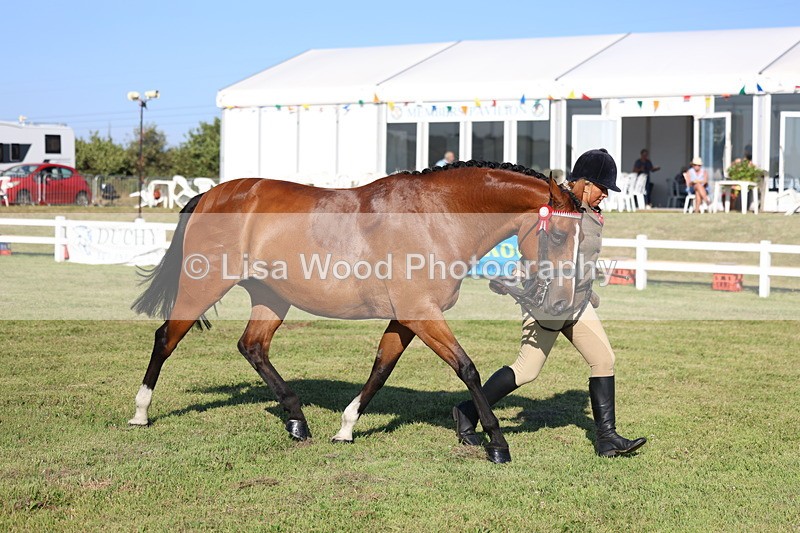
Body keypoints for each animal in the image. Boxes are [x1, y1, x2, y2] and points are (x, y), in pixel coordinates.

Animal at [129, 161, 583, 463]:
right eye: (560, 235)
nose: (563, 303)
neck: (435, 217)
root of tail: (211, 194)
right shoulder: (422, 313)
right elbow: (467, 368)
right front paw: (497, 443)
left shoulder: (407, 318)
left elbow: (381, 368)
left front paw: (346, 428)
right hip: (202, 287)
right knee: (165, 339)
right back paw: (141, 412)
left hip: (272, 296)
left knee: (252, 346)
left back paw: (297, 420)